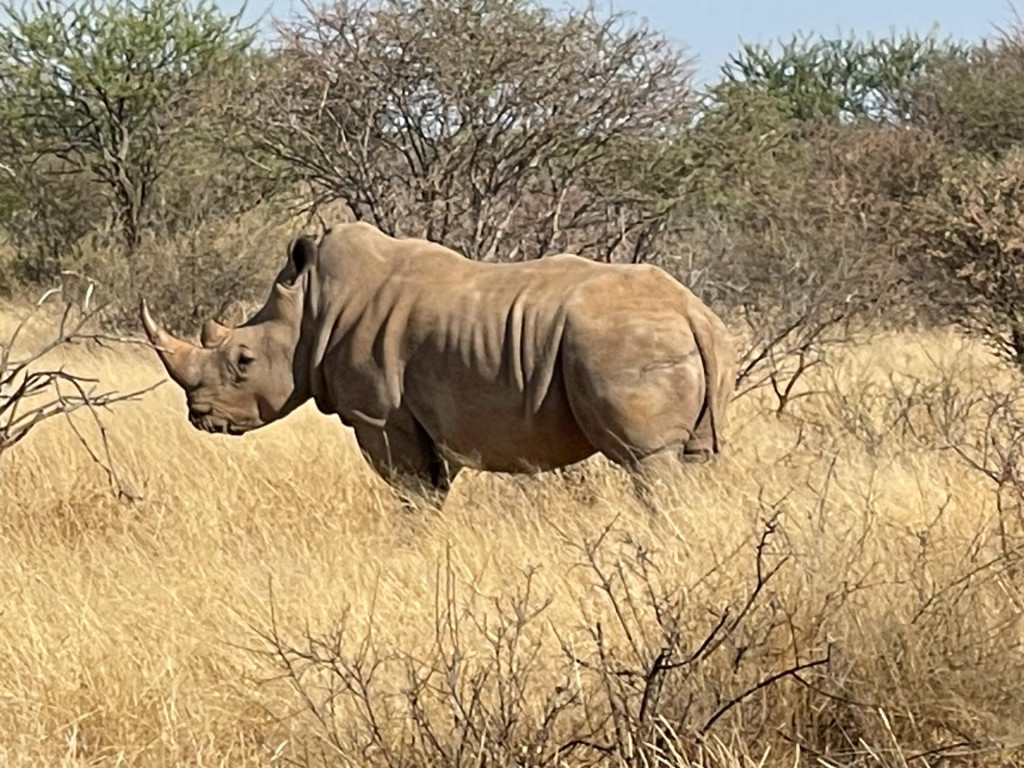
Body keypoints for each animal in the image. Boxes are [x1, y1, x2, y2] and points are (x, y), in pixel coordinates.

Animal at [140, 222, 737, 507]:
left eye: (242, 360)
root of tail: (691, 311)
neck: (312, 309)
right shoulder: (432, 422)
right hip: (694, 342)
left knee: (647, 464)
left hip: (622, 343)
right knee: (694, 461)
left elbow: (411, 493)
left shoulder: (380, 416)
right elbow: (432, 489)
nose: (199, 416)